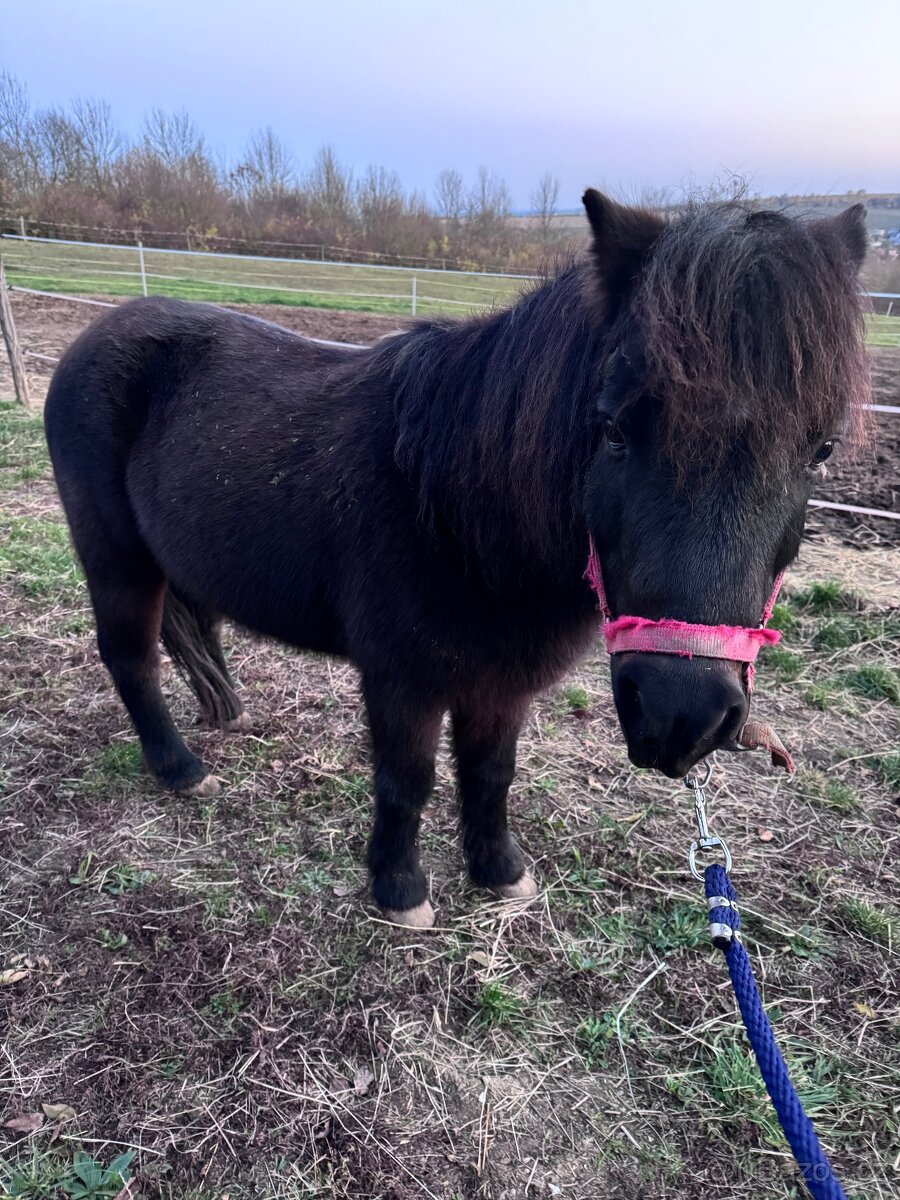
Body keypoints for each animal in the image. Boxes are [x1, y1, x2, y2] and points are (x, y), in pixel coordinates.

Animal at [44, 192, 870, 927]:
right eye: (612, 429)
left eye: (821, 448)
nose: (681, 716)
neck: (450, 506)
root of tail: (96, 335)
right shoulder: (401, 681)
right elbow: (407, 780)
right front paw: (400, 890)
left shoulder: (502, 683)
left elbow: (490, 774)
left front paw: (498, 871)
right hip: (117, 560)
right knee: (130, 656)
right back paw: (181, 769)